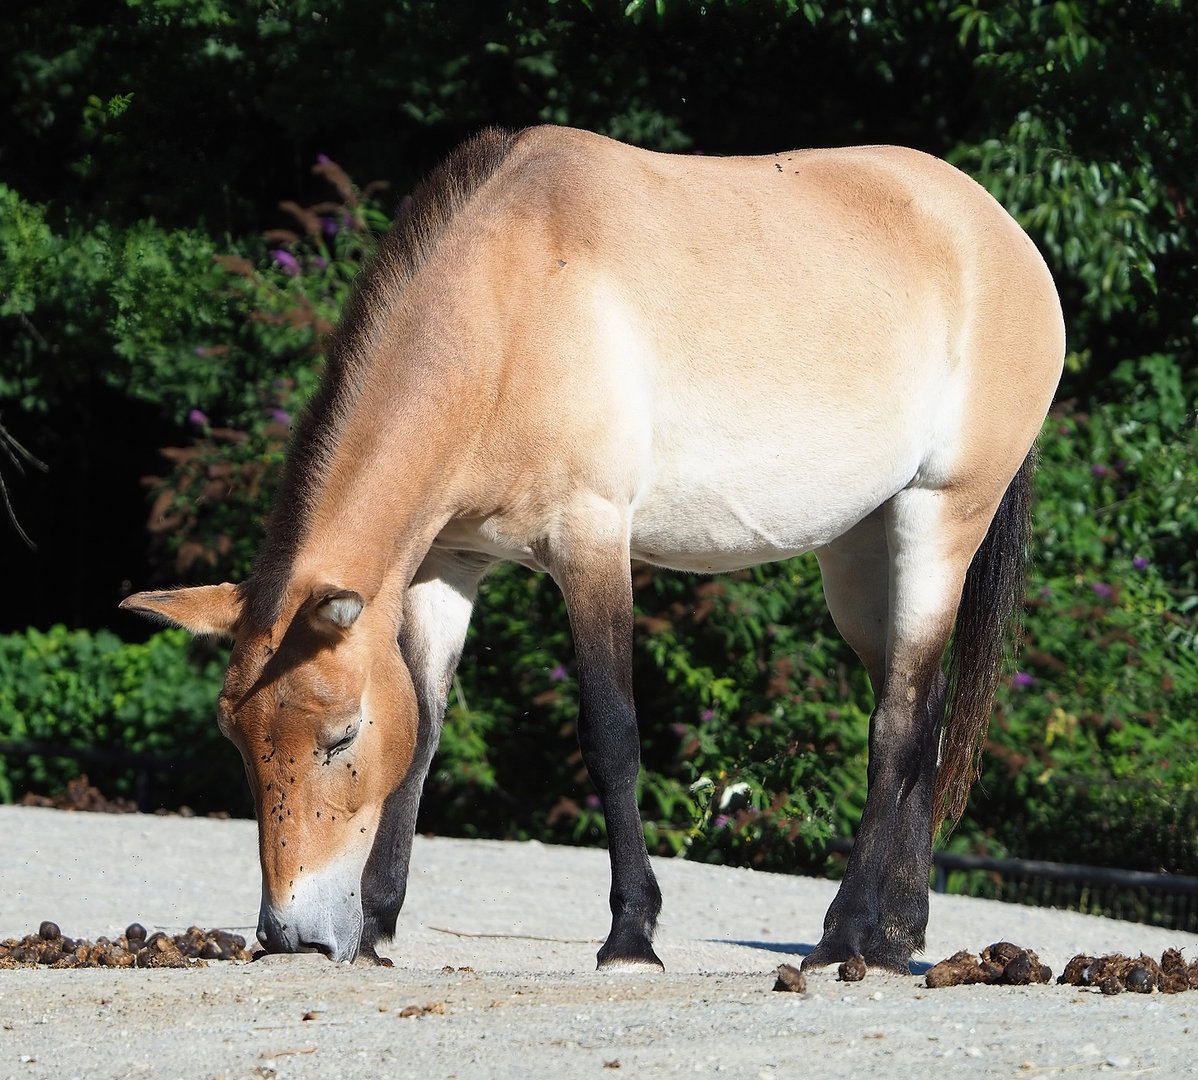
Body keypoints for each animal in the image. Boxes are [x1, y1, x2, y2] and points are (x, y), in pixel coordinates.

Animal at [122, 125, 1064, 971]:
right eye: (238, 740)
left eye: (341, 735)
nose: (289, 935)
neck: (512, 304)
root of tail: (998, 232)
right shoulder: (444, 567)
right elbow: (424, 729)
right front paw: (381, 926)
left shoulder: (591, 545)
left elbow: (612, 734)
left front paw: (631, 937)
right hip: (862, 553)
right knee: (921, 704)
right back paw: (899, 933)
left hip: (938, 519)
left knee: (898, 724)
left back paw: (847, 934)